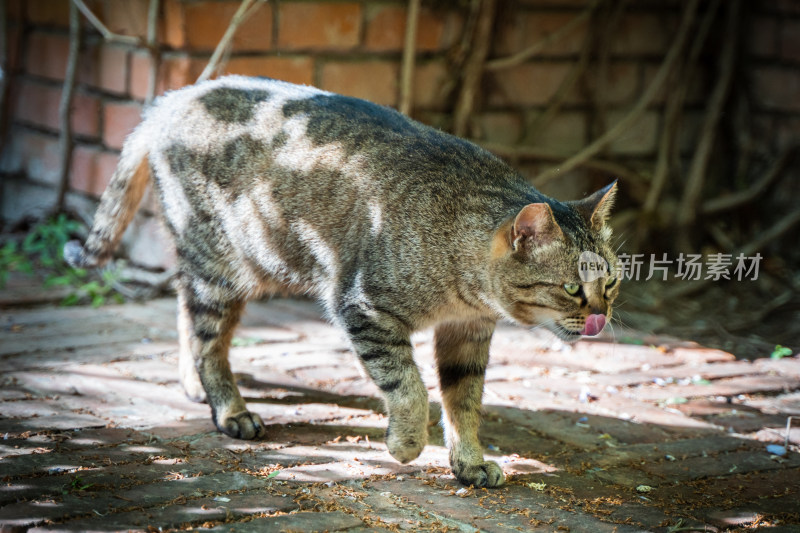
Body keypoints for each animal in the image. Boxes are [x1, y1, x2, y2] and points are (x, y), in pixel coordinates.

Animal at [65, 75, 620, 486]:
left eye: (611, 283)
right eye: (572, 287)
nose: (601, 315)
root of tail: (171, 98)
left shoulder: (467, 334)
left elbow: (463, 402)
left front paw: (469, 462)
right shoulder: (364, 308)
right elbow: (409, 387)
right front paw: (407, 443)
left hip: (225, 269)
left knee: (186, 312)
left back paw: (194, 385)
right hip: (223, 266)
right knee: (208, 340)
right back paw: (229, 408)